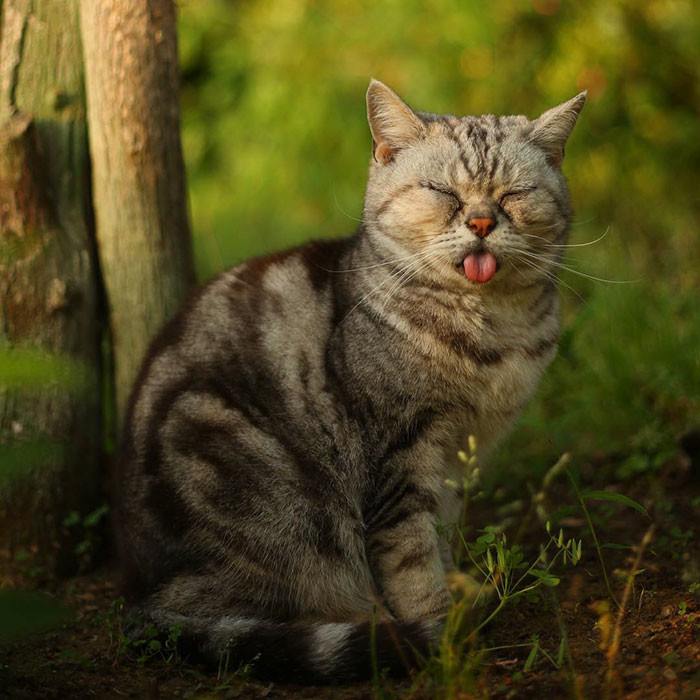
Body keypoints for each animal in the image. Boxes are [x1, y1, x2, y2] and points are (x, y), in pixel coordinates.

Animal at [115, 78, 584, 684]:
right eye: (443, 192)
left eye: (512, 195)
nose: (482, 223)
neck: (493, 330)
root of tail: (143, 602)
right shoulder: (399, 453)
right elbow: (412, 556)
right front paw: (441, 632)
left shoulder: (457, 454)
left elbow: (444, 529)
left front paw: (459, 593)